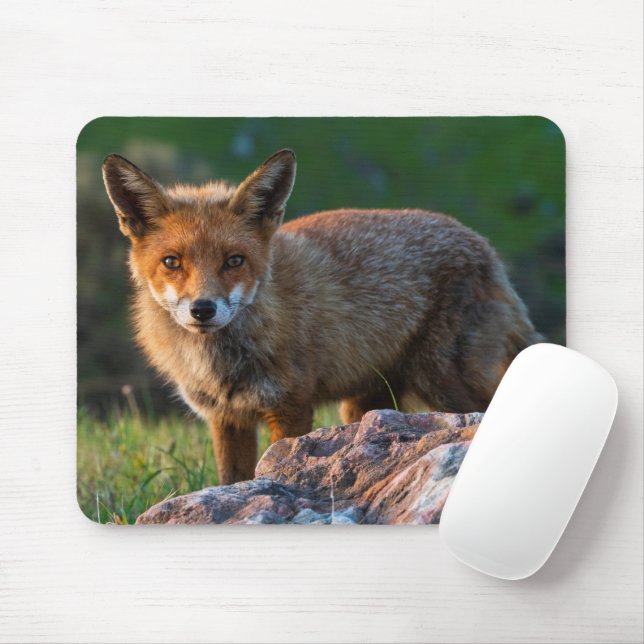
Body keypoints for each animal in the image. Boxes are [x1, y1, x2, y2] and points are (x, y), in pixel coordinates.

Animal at [102, 149, 541, 485]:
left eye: (234, 261)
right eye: (172, 262)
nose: (202, 309)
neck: (222, 364)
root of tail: (485, 247)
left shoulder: (290, 407)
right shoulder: (226, 418)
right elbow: (231, 480)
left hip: (441, 381)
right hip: (367, 403)